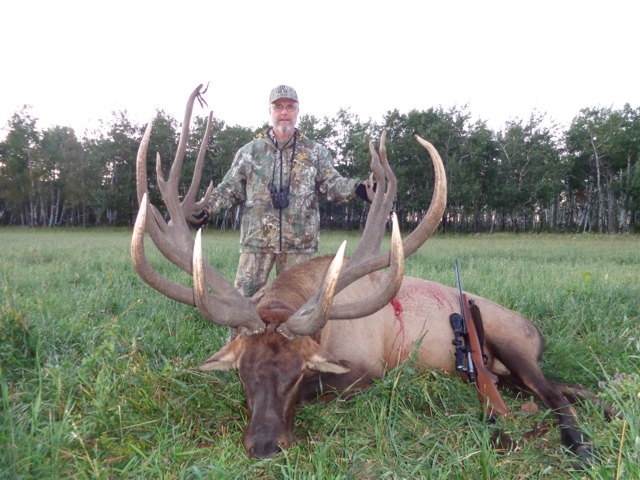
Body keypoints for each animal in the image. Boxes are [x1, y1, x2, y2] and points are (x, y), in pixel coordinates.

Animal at [131, 85, 606, 466]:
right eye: (243, 375)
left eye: (297, 374)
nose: (265, 447)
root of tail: (536, 330)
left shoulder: (368, 370)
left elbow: (326, 387)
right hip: (508, 369)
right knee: (566, 387)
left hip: (512, 343)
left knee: (554, 394)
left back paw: (580, 445)